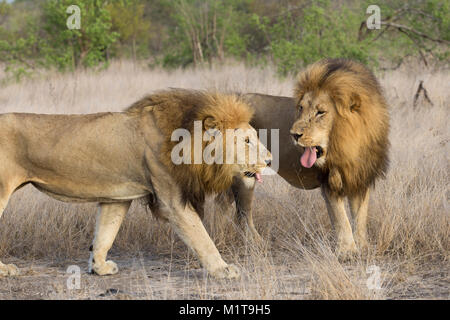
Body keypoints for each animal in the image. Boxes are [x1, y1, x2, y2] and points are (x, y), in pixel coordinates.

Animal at [0, 88, 270, 278]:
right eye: (246, 141)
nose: (269, 160)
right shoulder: (172, 201)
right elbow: (201, 237)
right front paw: (223, 269)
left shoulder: (117, 197)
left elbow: (105, 233)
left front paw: (99, 267)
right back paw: (5, 270)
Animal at [290, 59, 388, 260]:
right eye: (301, 108)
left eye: (320, 112)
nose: (294, 135)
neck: (346, 147)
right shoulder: (329, 182)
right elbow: (341, 218)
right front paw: (347, 251)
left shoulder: (361, 178)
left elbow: (360, 216)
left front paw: (363, 247)